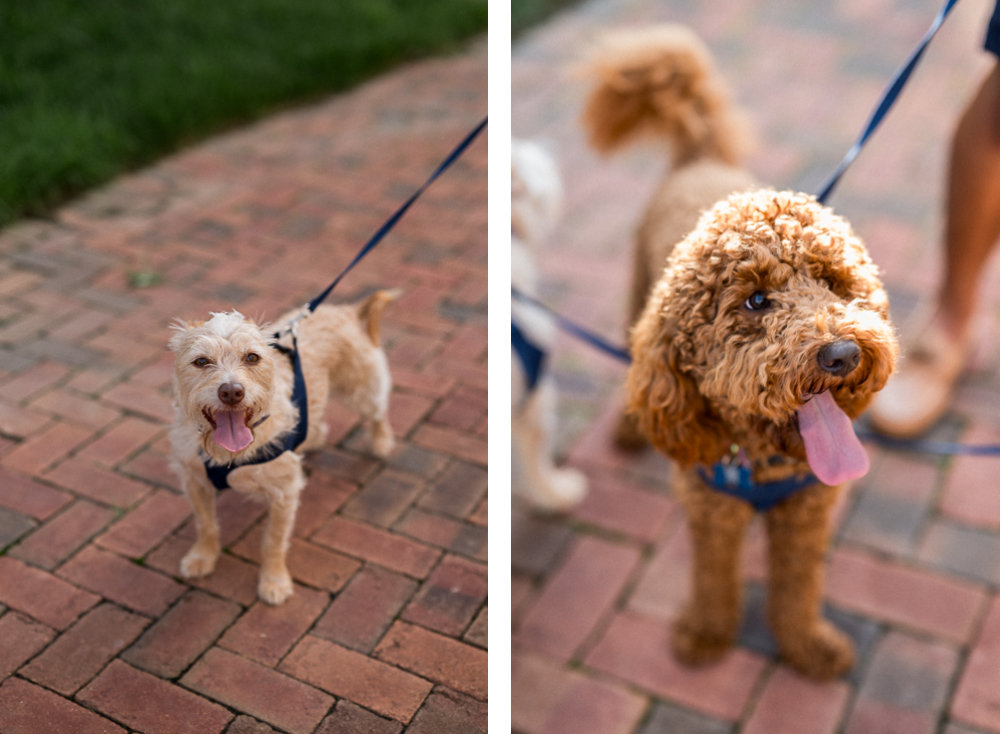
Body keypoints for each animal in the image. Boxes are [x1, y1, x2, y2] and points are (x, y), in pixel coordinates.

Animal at [170, 292, 396, 604]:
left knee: (378, 412)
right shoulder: (194, 480)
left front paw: (274, 581)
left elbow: (273, 542)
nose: (231, 392)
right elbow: (206, 524)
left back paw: (382, 442)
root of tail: (345, 310)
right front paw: (202, 558)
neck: (228, 453)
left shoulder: (284, 493)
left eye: (252, 357)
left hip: (362, 393)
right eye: (201, 361)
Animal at [624, 188, 900, 680]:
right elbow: (713, 578)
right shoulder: (712, 512)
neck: (763, 462)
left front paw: (807, 646)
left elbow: (799, 585)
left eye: (831, 280)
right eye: (756, 300)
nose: (844, 354)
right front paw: (707, 633)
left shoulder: (806, 513)